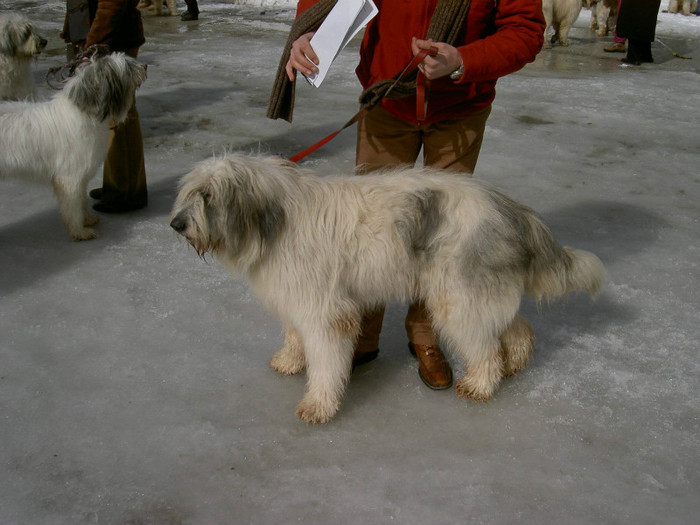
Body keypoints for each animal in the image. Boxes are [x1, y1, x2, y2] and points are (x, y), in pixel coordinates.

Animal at [0, 51, 148, 239]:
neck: (85, 112)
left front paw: (87, 220)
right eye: (128, 67)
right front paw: (80, 231)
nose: (145, 66)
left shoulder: (80, 176)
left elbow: (82, 200)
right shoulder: (70, 178)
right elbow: (73, 206)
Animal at [171, 154, 608, 424]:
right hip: (477, 290)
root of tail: (509, 207)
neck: (273, 221)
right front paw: (290, 361)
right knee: (513, 327)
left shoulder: (325, 309)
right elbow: (295, 335)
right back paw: (514, 362)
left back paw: (480, 384)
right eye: (191, 192)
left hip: (457, 295)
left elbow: (325, 359)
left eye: (208, 196)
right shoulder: (296, 297)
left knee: (483, 346)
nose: (176, 224)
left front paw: (319, 404)